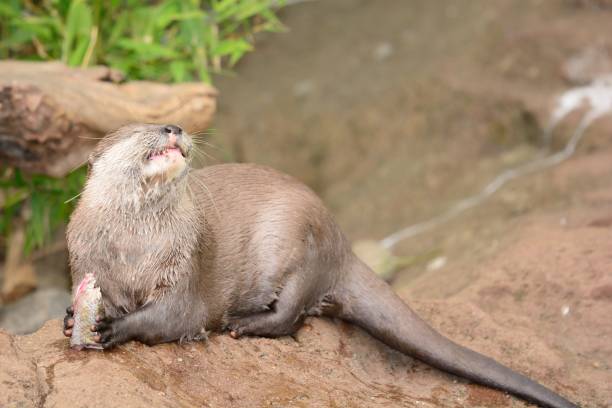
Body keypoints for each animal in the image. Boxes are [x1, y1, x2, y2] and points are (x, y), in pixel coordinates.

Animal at [62, 124, 580, 408]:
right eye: (139, 129)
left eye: (169, 124)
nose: (173, 126)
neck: (134, 248)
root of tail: (341, 242)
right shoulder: (84, 259)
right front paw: (74, 317)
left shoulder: (186, 266)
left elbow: (173, 316)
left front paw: (112, 326)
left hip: (298, 242)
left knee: (294, 314)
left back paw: (244, 323)